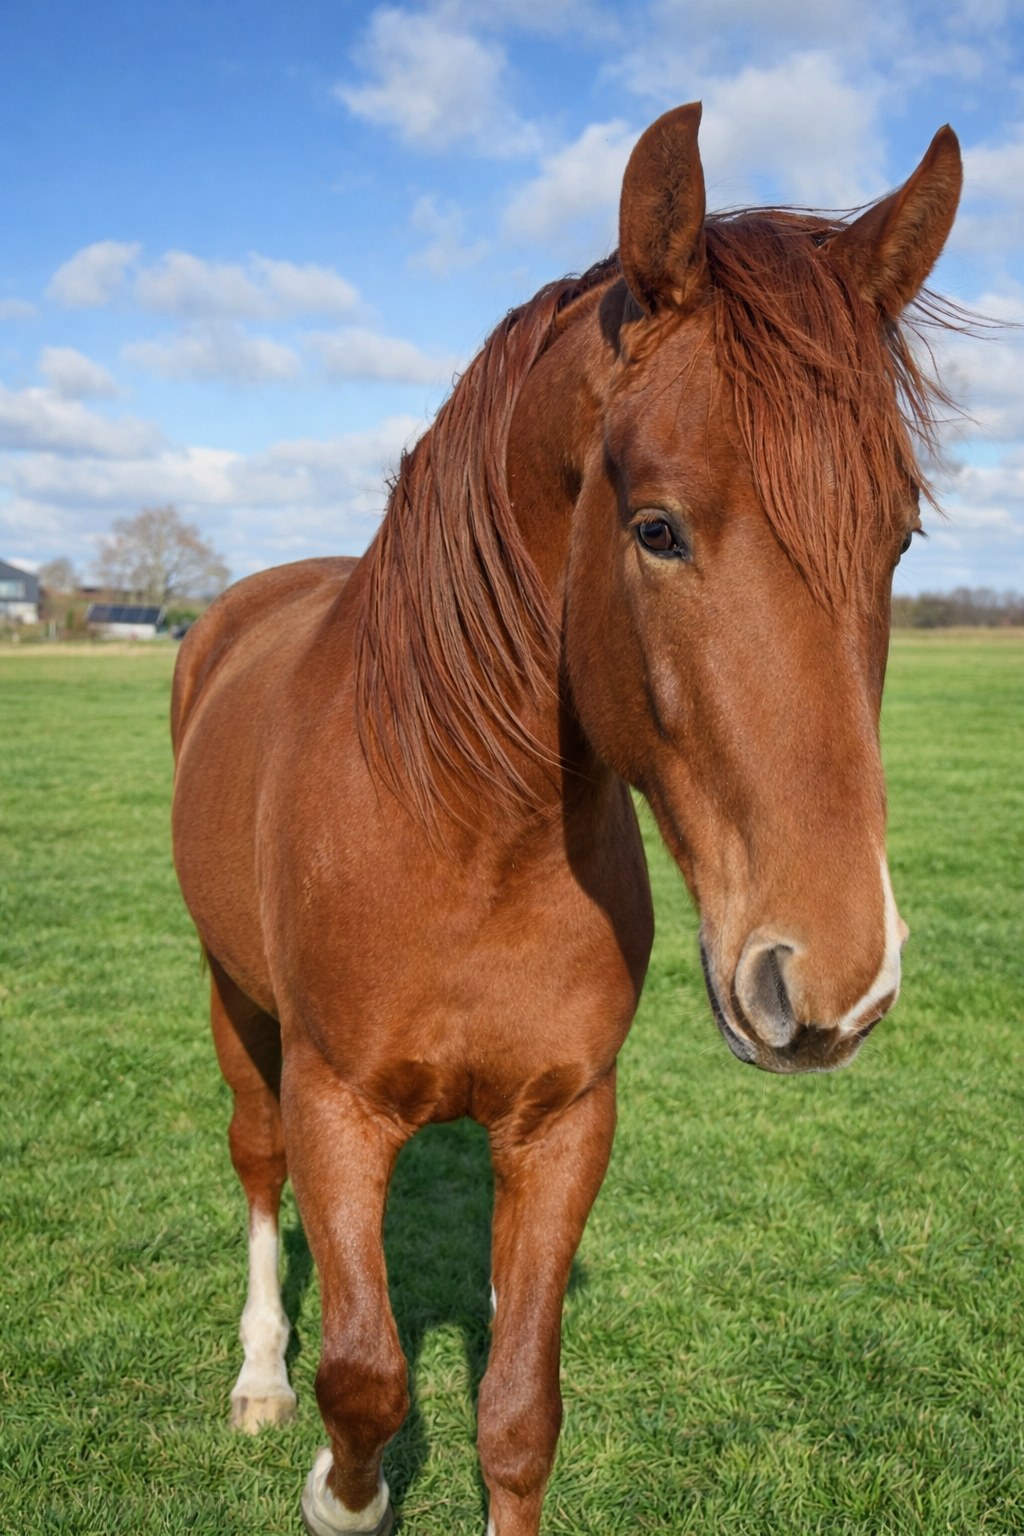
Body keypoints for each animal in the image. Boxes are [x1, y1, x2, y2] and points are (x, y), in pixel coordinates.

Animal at [171, 103, 962, 1536]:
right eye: (654, 528)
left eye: (899, 536)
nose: (836, 982)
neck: (468, 830)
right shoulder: (335, 1106)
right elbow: (363, 1377)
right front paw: (337, 1488)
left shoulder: (564, 1120)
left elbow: (518, 1413)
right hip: (236, 1005)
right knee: (254, 1168)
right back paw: (257, 1378)